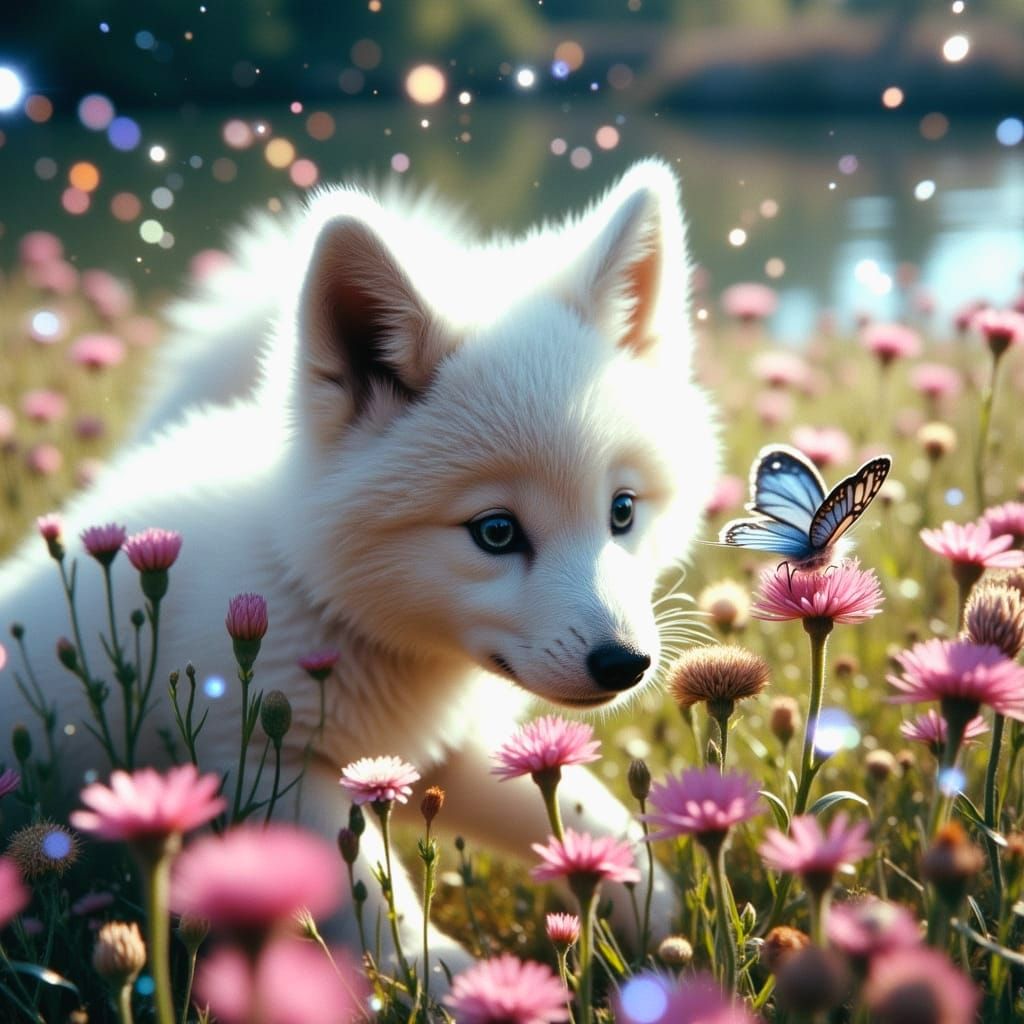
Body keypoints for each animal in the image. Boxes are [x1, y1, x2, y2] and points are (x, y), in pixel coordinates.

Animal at [0, 159, 718, 978]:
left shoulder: (453, 746)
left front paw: (654, 911)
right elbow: (378, 907)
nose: (626, 664)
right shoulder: (269, 762)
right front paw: (449, 982)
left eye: (622, 512)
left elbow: (586, 809)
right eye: (496, 532)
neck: (323, 594)